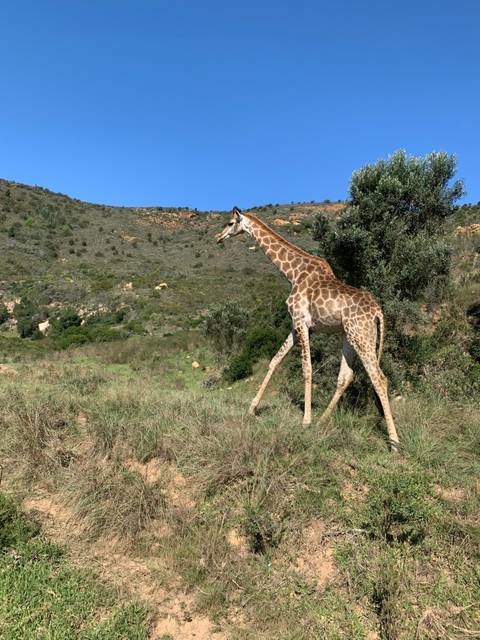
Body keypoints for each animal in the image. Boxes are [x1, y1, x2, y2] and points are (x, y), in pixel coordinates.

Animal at [215, 207, 400, 450]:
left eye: (229, 223)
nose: (218, 237)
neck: (292, 273)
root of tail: (378, 312)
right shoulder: (297, 326)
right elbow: (275, 360)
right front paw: (252, 408)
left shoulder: (301, 321)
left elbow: (307, 368)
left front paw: (305, 421)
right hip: (349, 337)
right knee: (346, 376)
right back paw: (322, 422)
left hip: (362, 336)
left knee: (379, 378)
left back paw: (394, 442)